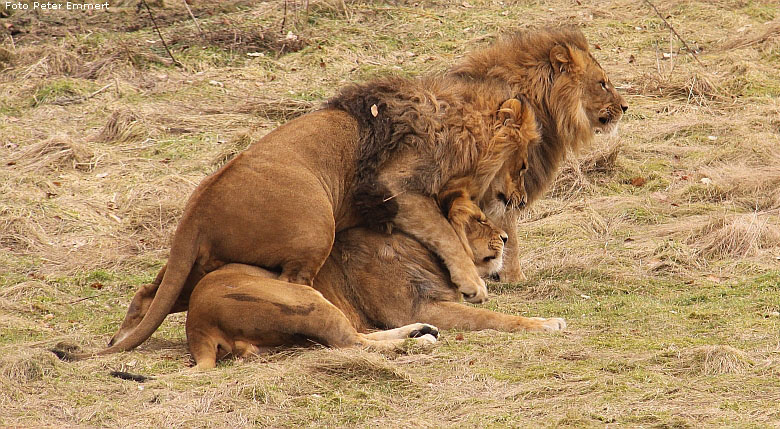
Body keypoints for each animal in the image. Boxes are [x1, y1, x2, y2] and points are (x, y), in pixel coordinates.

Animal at [186, 204, 564, 368]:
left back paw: (421, 332)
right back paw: (419, 342)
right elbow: (495, 318)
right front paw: (547, 323)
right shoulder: (415, 305)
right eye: (478, 219)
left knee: (355, 336)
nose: (505, 238)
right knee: (350, 342)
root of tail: (197, 322)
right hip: (304, 298)